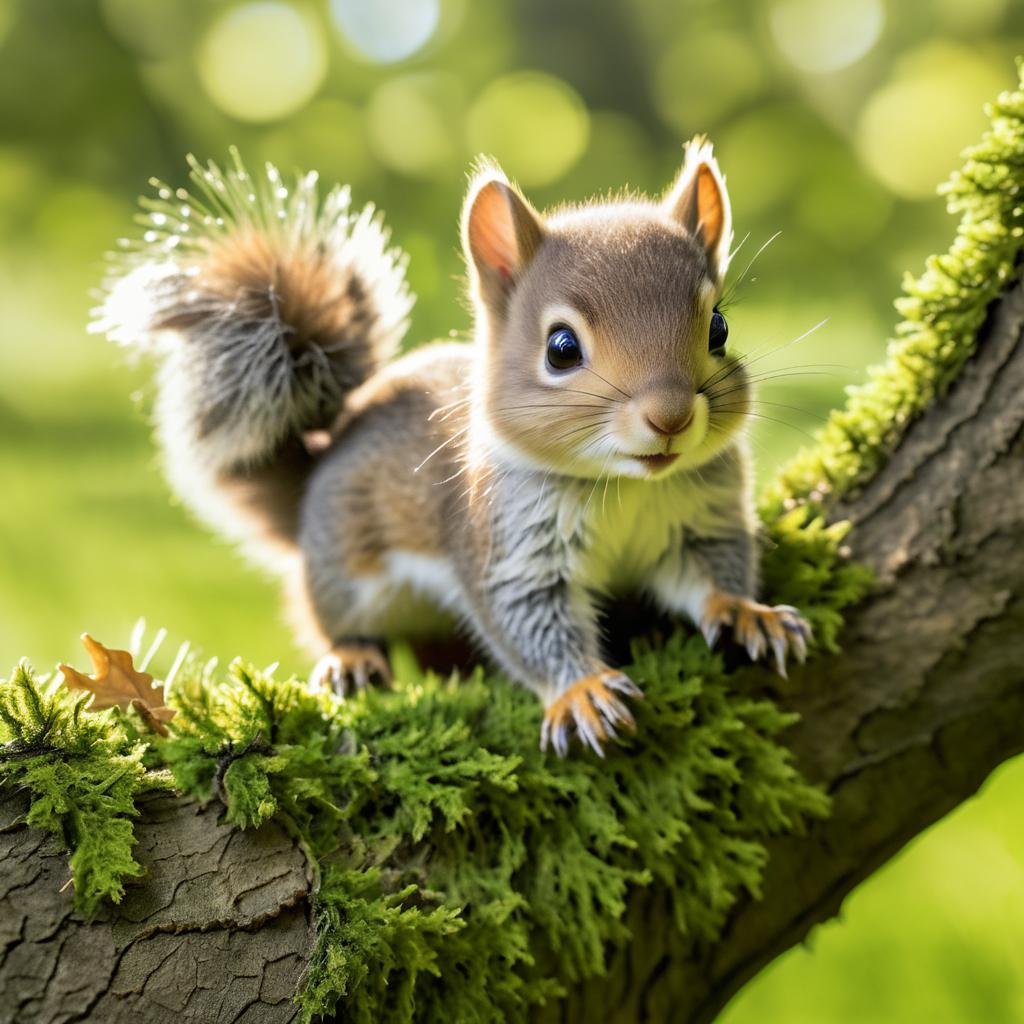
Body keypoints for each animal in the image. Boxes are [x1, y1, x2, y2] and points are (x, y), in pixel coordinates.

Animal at [99, 140, 811, 757]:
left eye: (719, 327)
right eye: (561, 348)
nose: (670, 418)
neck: (626, 487)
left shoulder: (702, 516)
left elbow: (713, 569)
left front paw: (748, 612)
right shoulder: (506, 547)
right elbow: (525, 621)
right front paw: (580, 691)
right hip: (344, 569)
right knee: (330, 616)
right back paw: (351, 657)